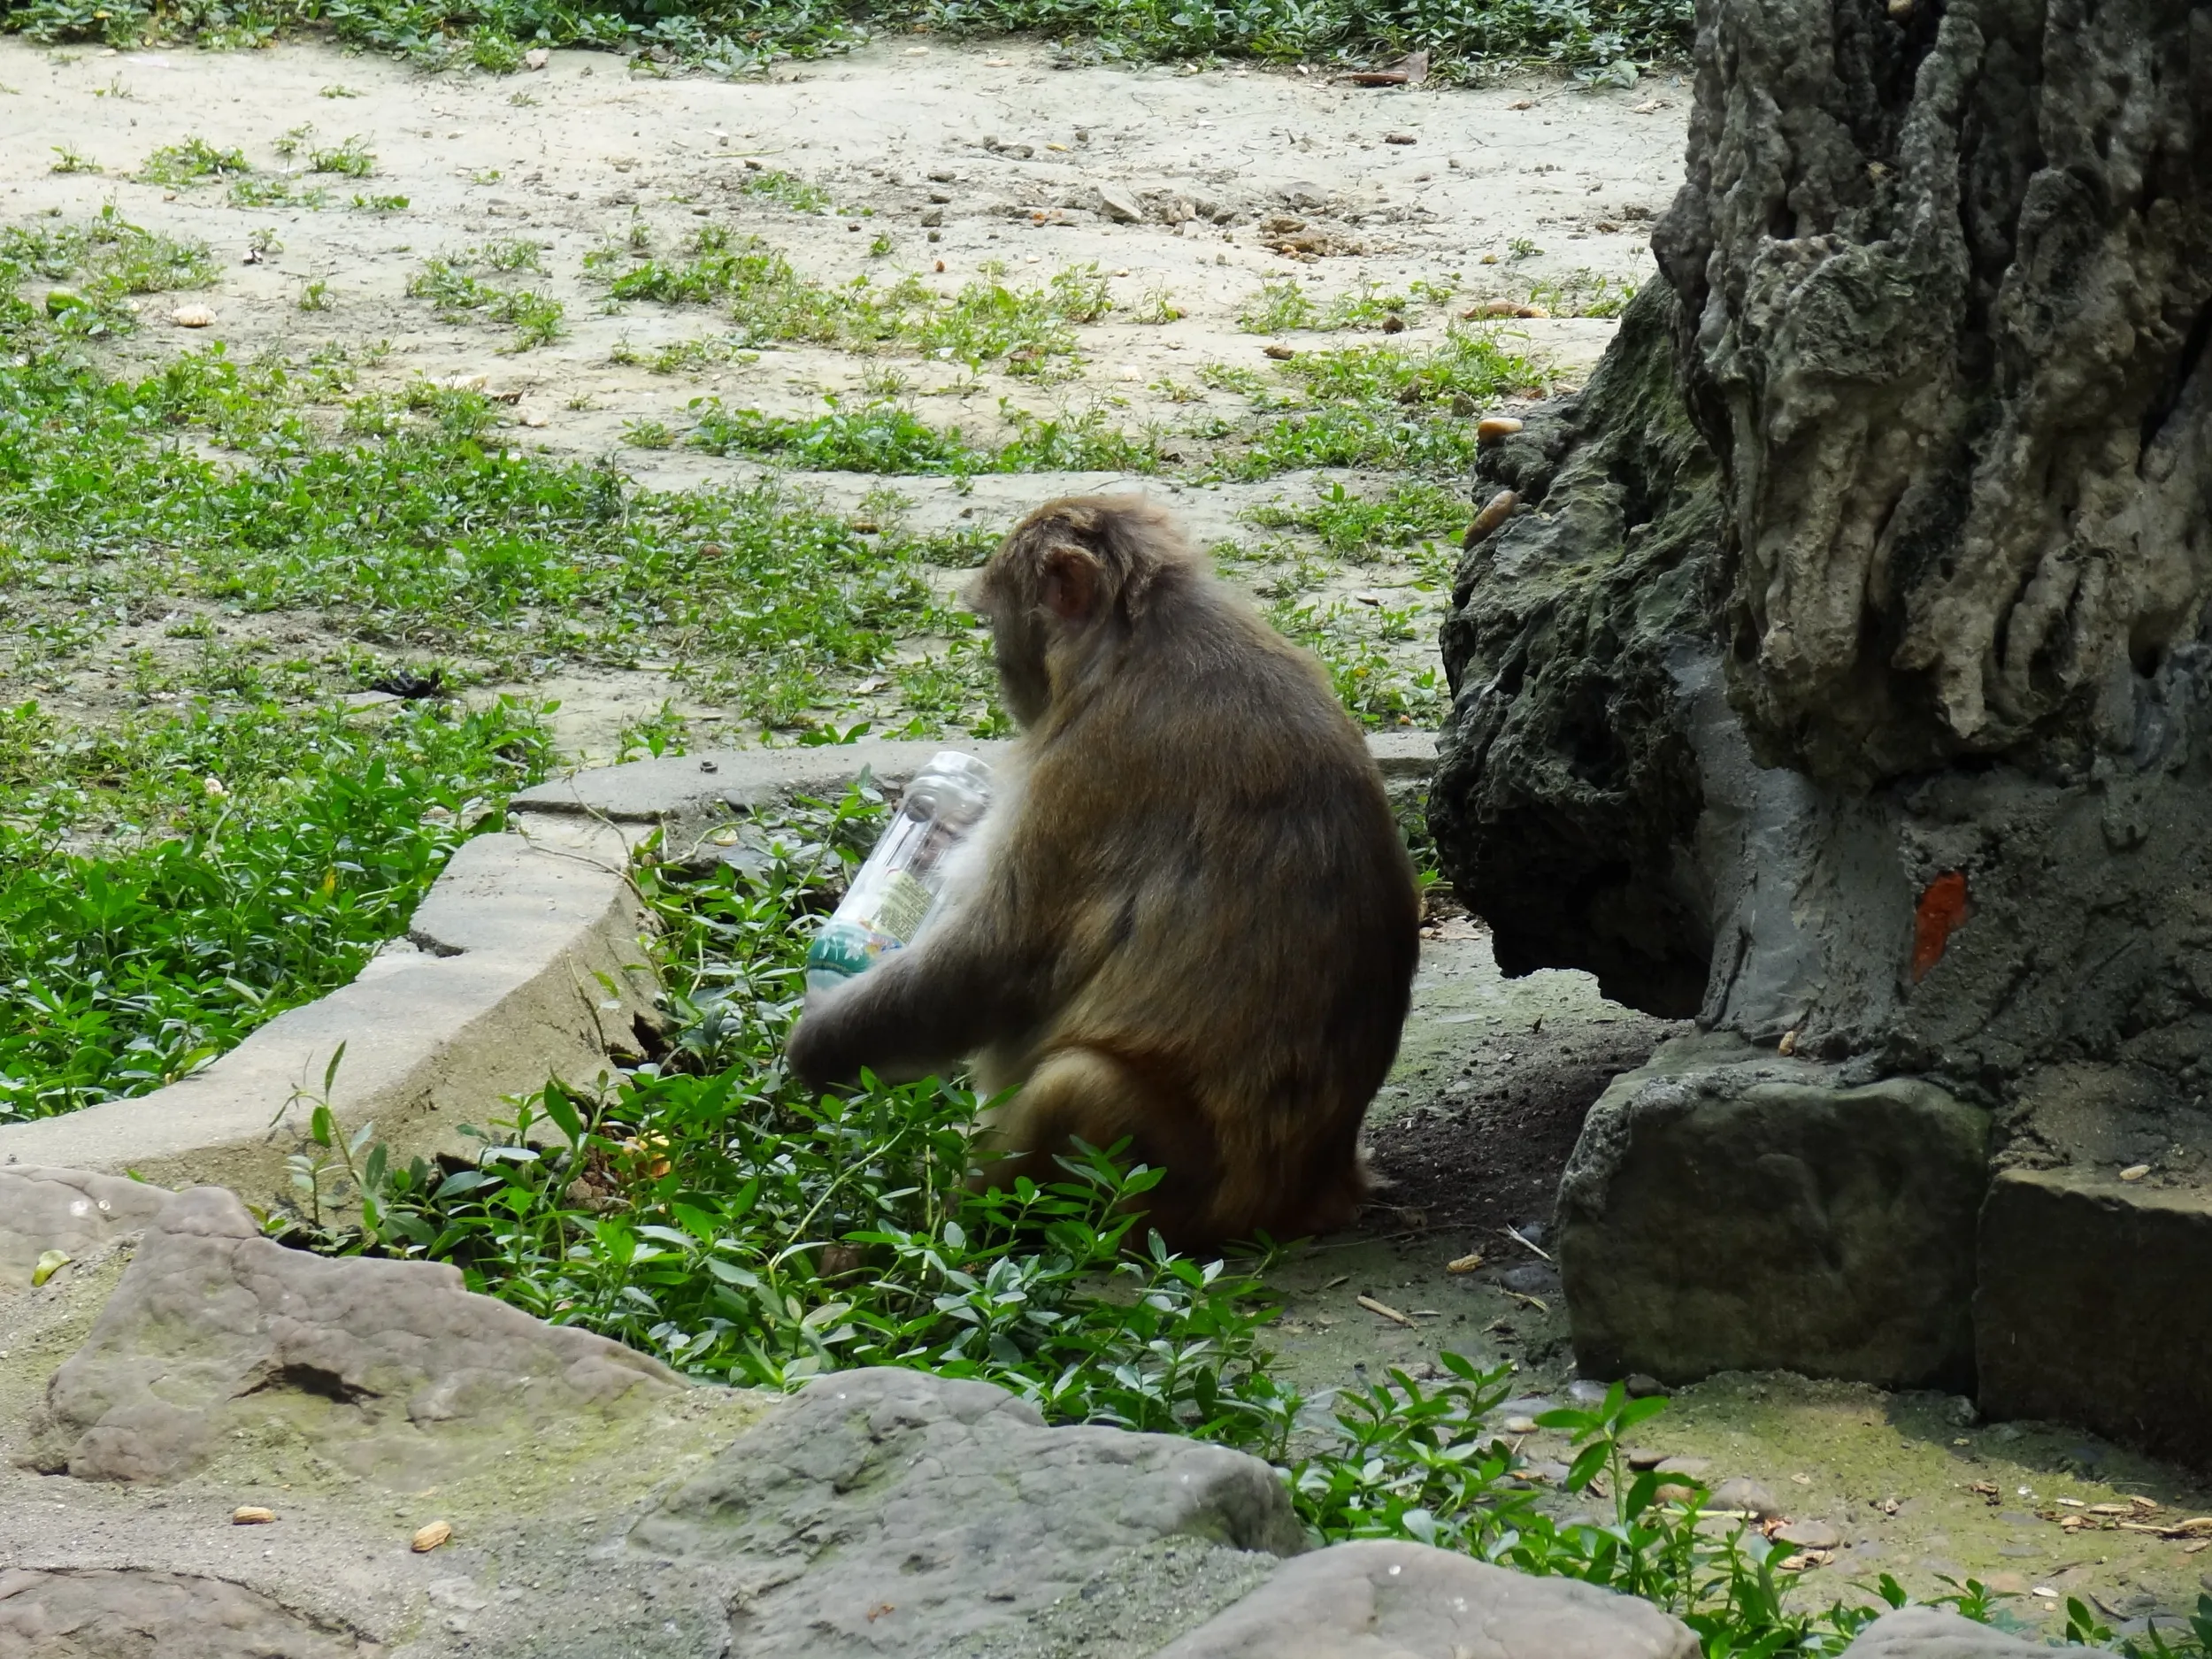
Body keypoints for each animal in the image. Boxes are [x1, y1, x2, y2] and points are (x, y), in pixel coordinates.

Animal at [785, 493, 1420, 1252]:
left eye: (993, 619)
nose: (998, 668)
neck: (1136, 641)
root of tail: (1312, 1193)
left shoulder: (1089, 765)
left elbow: (999, 958)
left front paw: (818, 1047)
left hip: (1176, 1190)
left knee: (1078, 1082)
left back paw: (953, 1229)